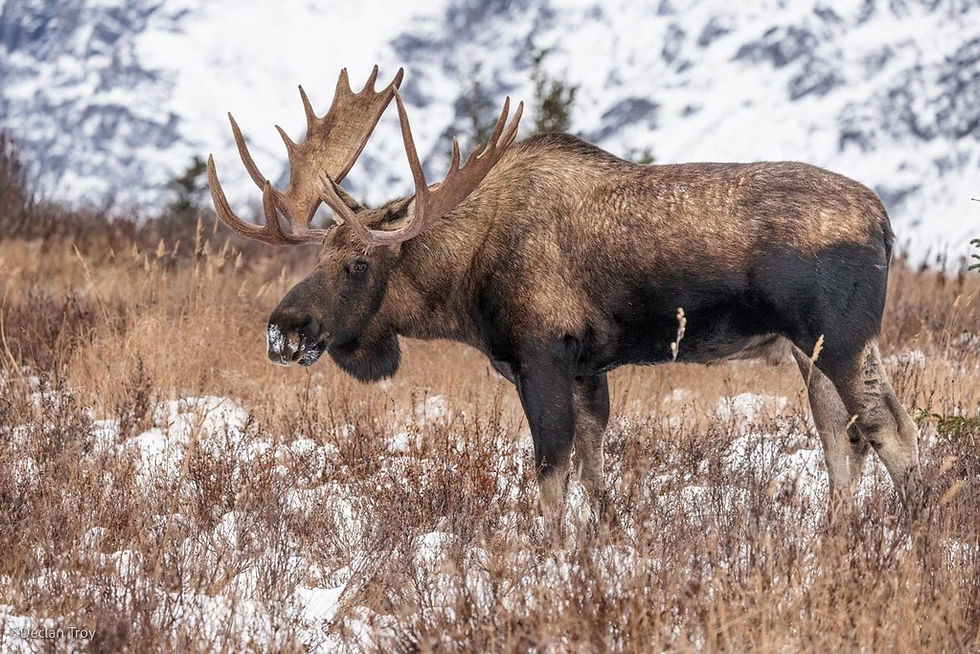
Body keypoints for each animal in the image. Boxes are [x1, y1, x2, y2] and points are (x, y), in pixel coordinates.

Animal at [207, 66, 920, 521]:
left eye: (358, 263)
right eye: (319, 256)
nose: (284, 326)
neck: (463, 284)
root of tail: (885, 225)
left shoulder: (543, 356)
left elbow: (550, 476)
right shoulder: (587, 370)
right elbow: (593, 473)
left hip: (841, 339)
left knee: (891, 431)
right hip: (811, 350)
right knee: (844, 442)